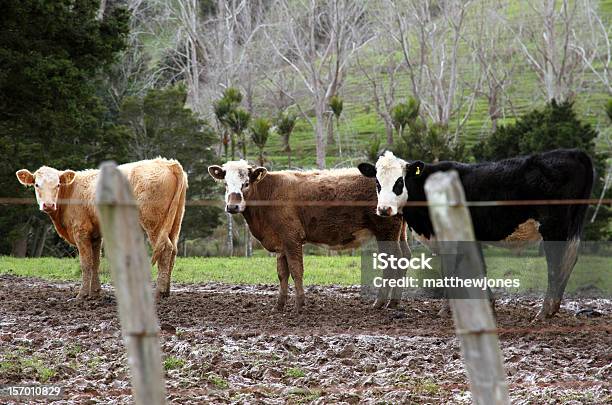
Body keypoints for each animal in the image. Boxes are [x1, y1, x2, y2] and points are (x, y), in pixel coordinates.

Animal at [17, 158, 189, 300]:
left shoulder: (81, 231)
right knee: (173, 251)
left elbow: (86, 263)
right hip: (175, 223)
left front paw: (82, 295)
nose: (48, 205)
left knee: (165, 249)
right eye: (37, 185)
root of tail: (167, 163)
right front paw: (95, 293)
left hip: (154, 224)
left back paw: (159, 292)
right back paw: (166, 291)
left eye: (58, 184)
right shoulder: (95, 235)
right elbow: (95, 262)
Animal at [208, 159, 408, 310]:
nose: (232, 206)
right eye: (226, 184)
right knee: (404, 257)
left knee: (392, 263)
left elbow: (296, 270)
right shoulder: (280, 243)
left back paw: (380, 303)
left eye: (246, 183)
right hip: (399, 233)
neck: (269, 193)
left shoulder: (292, 238)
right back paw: (393, 302)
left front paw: (299, 305)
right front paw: (279, 306)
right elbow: (282, 274)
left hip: (385, 232)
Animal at [358, 149, 592, 318]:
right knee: (570, 259)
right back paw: (553, 308)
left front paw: (446, 309)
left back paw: (544, 311)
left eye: (399, 181)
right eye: (377, 182)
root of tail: (573, 153)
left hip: (554, 228)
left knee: (556, 263)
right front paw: (488, 304)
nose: (384, 209)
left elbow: (449, 272)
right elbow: (479, 269)